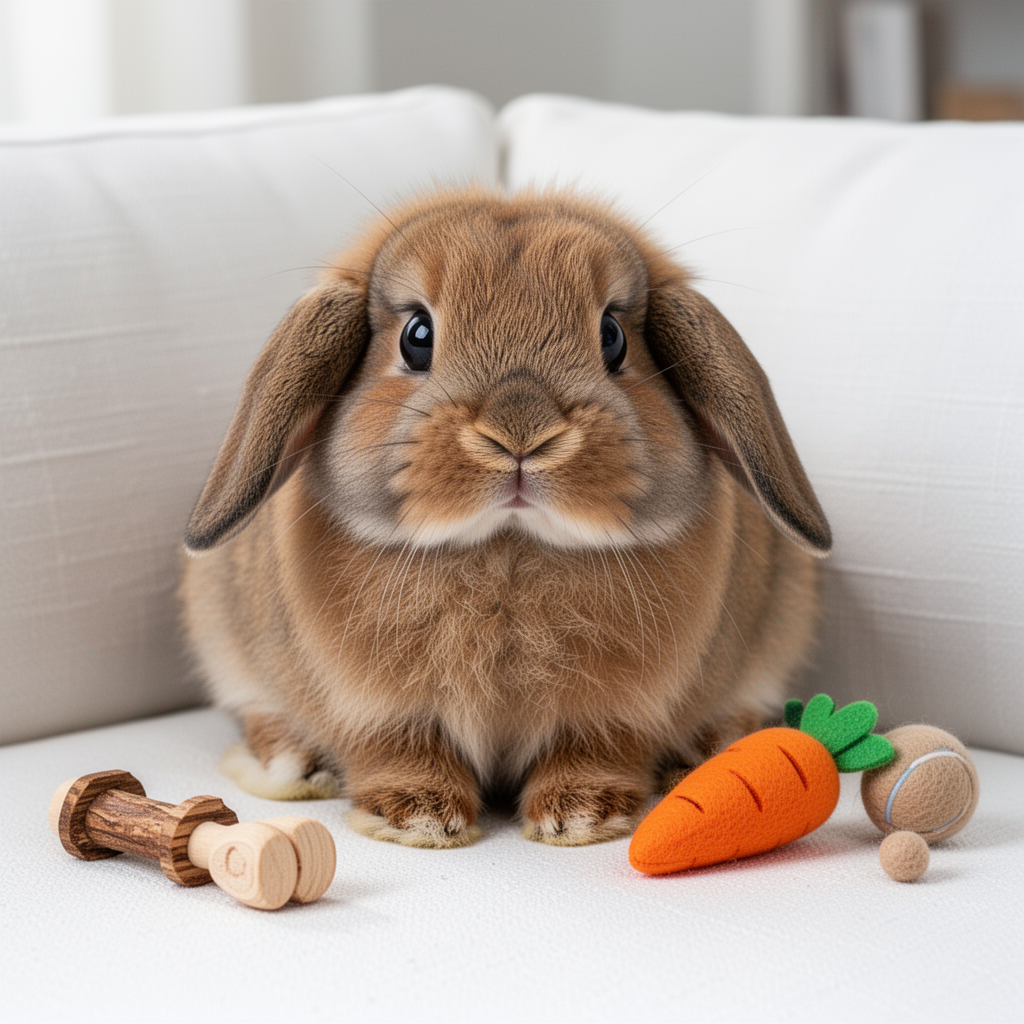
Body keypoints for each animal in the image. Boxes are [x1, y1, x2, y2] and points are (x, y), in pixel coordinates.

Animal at [180, 187, 831, 849]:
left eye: (612, 336)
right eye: (417, 335)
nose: (521, 433)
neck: (508, 551)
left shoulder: (610, 716)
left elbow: (594, 753)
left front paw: (580, 815)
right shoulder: (382, 712)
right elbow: (399, 753)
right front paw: (419, 818)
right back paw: (295, 764)